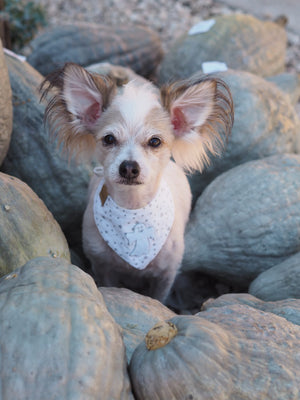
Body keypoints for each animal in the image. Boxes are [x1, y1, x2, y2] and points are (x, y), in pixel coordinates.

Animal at [40, 62, 232, 302]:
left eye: (155, 141)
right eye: (109, 139)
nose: (129, 167)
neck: (132, 208)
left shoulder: (165, 276)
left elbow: (158, 299)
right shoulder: (102, 266)